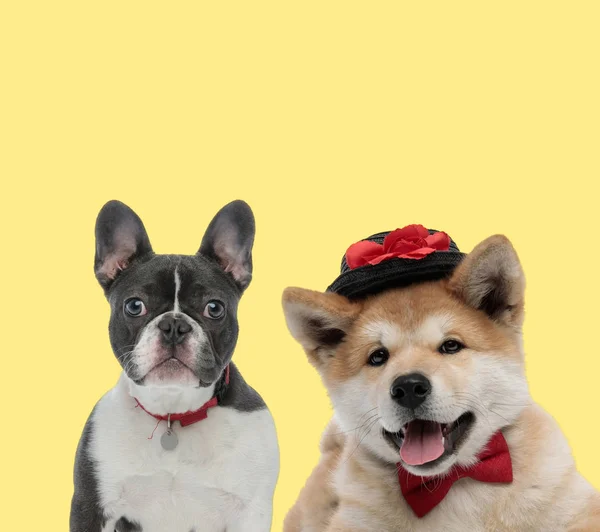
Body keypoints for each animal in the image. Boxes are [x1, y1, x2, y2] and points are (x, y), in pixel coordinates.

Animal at [69, 201, 278, 532]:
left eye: (214, 308)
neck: (173, 412)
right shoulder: (91, 507)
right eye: (134, 305)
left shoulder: (251, 511)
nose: (174, 326)